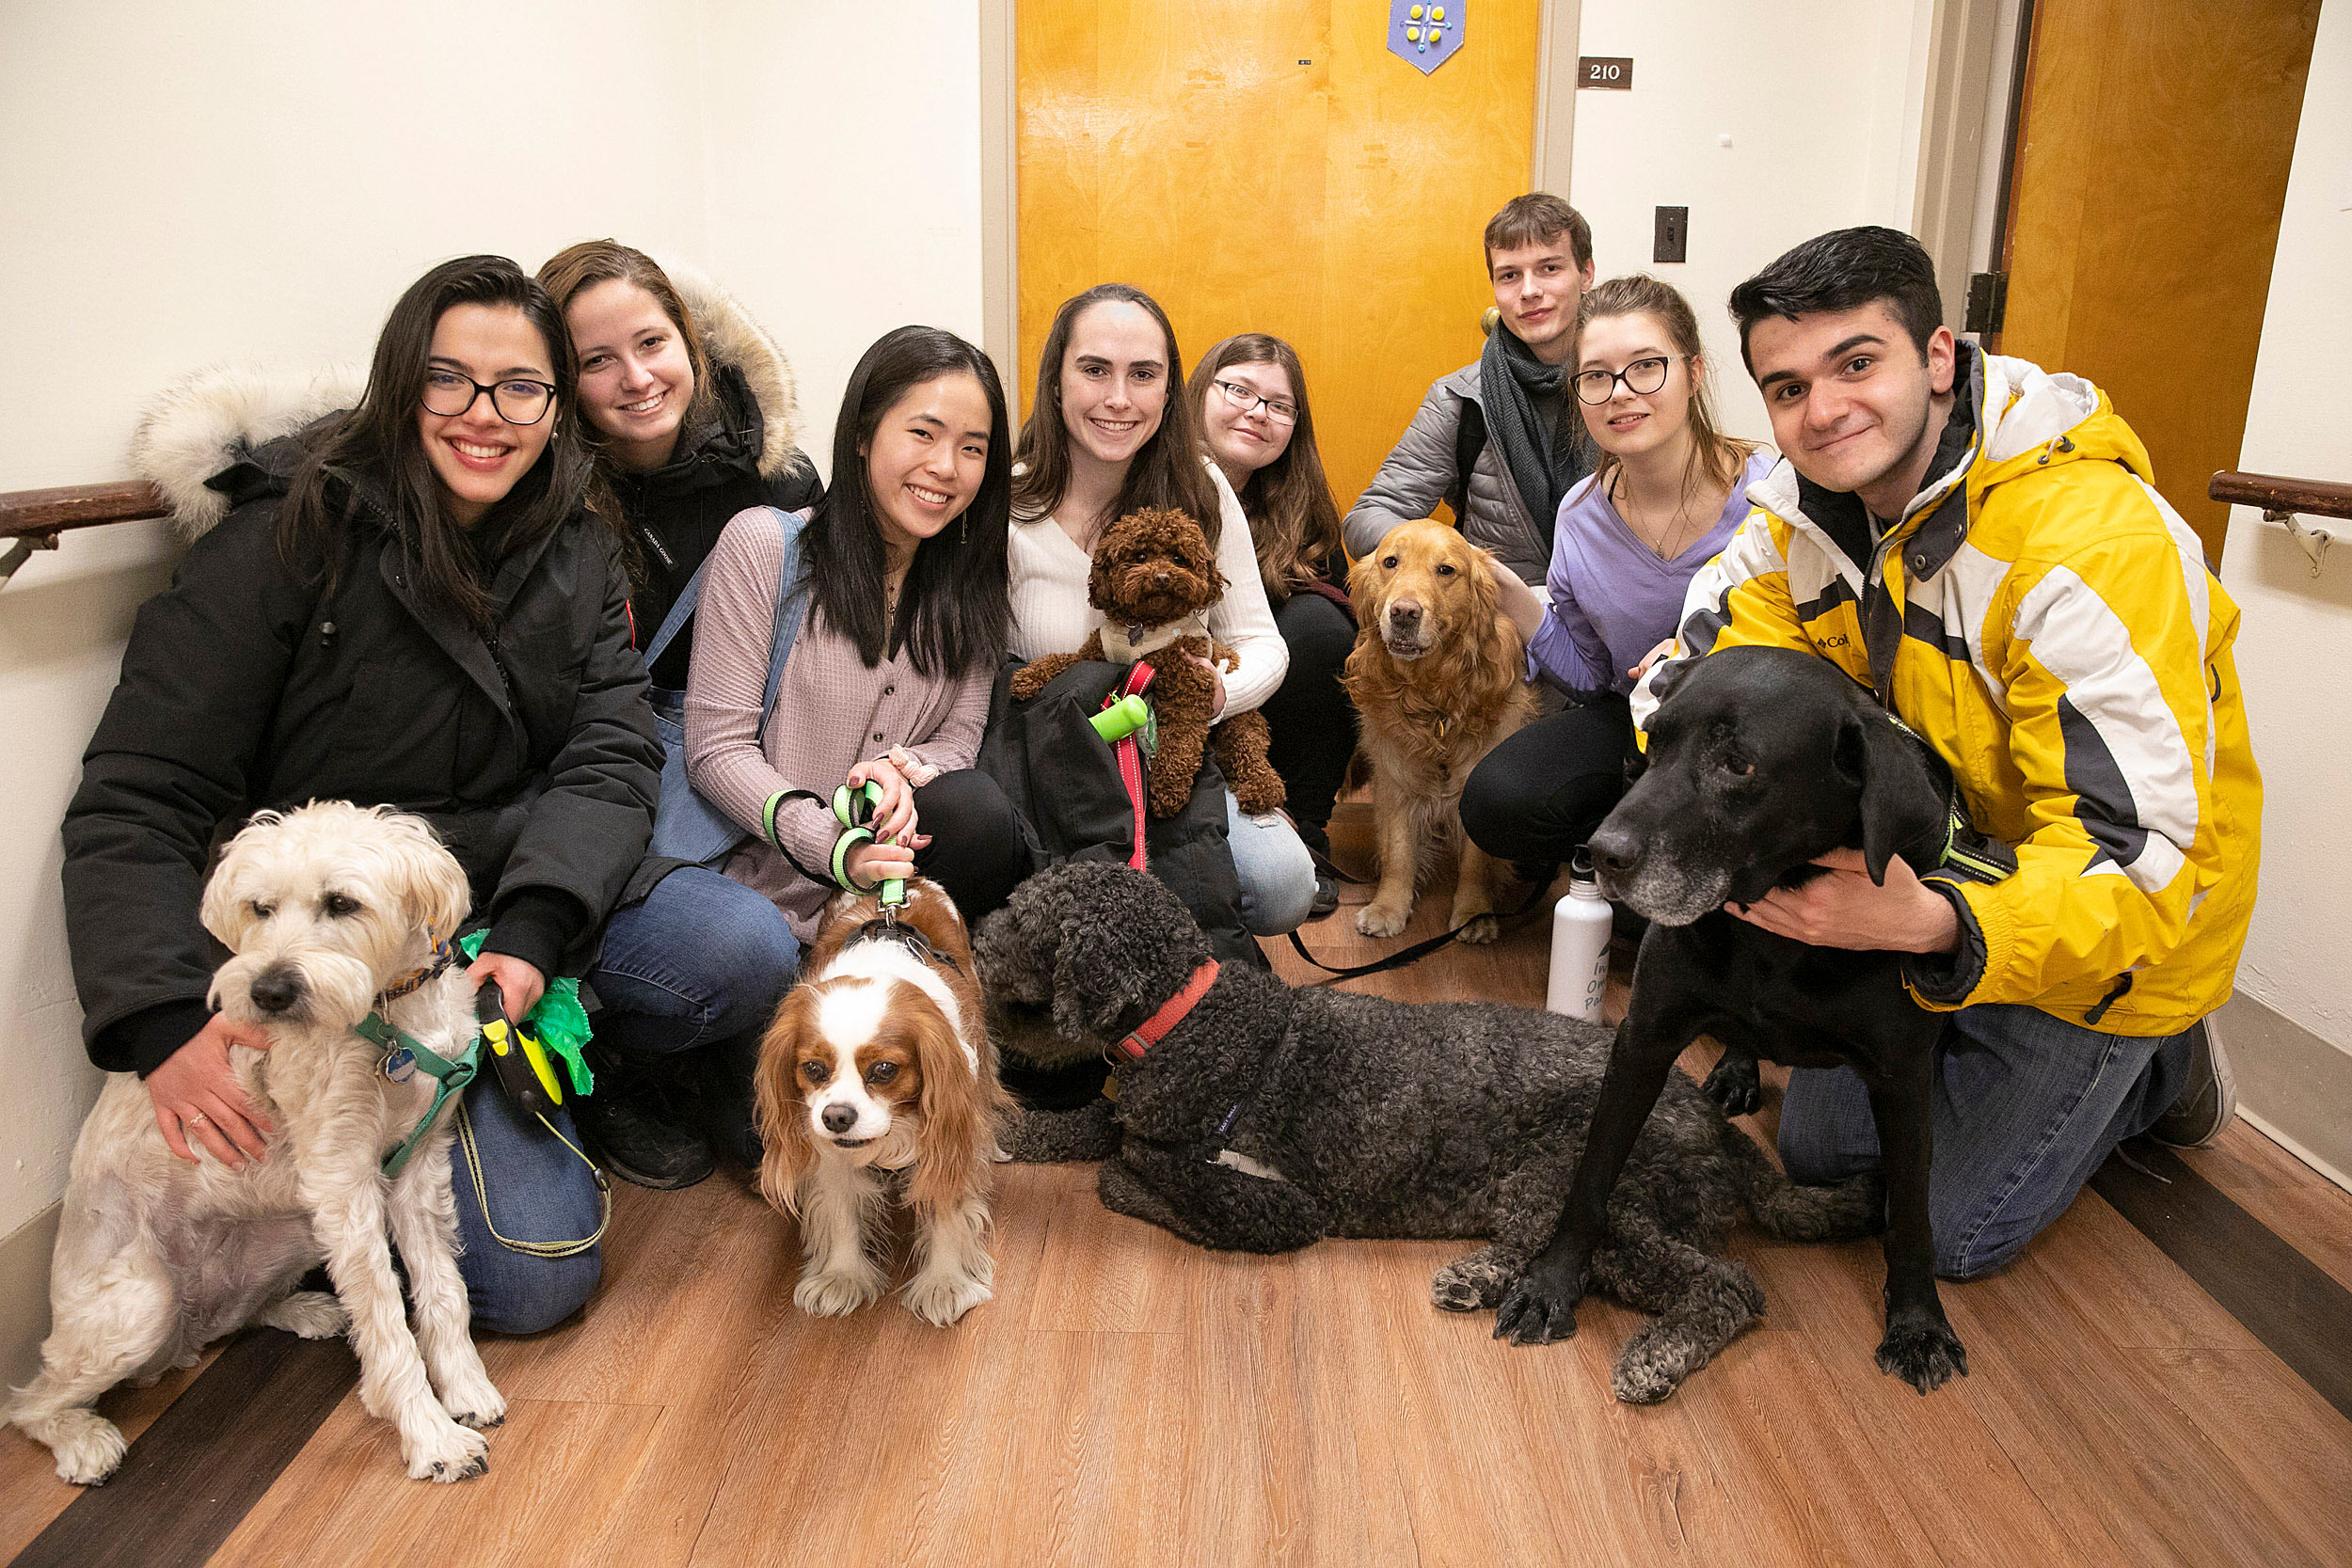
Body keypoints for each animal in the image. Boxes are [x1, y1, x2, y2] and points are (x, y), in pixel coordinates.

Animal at [10, 803, 505, 1495]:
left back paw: (303, 1309)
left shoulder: (417, 1164)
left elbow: (443, 1290)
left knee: (235, 1316)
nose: (268, 992)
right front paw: (431, 1436)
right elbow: (387, 1322)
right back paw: (83, 1442)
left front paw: (465, 1386)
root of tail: (184, 1339)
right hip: (143, 1302)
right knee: (30, 1402)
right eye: (259, 907)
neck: (387, 1016)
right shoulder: (342, 1181)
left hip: (294, 1233)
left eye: (341, 902)